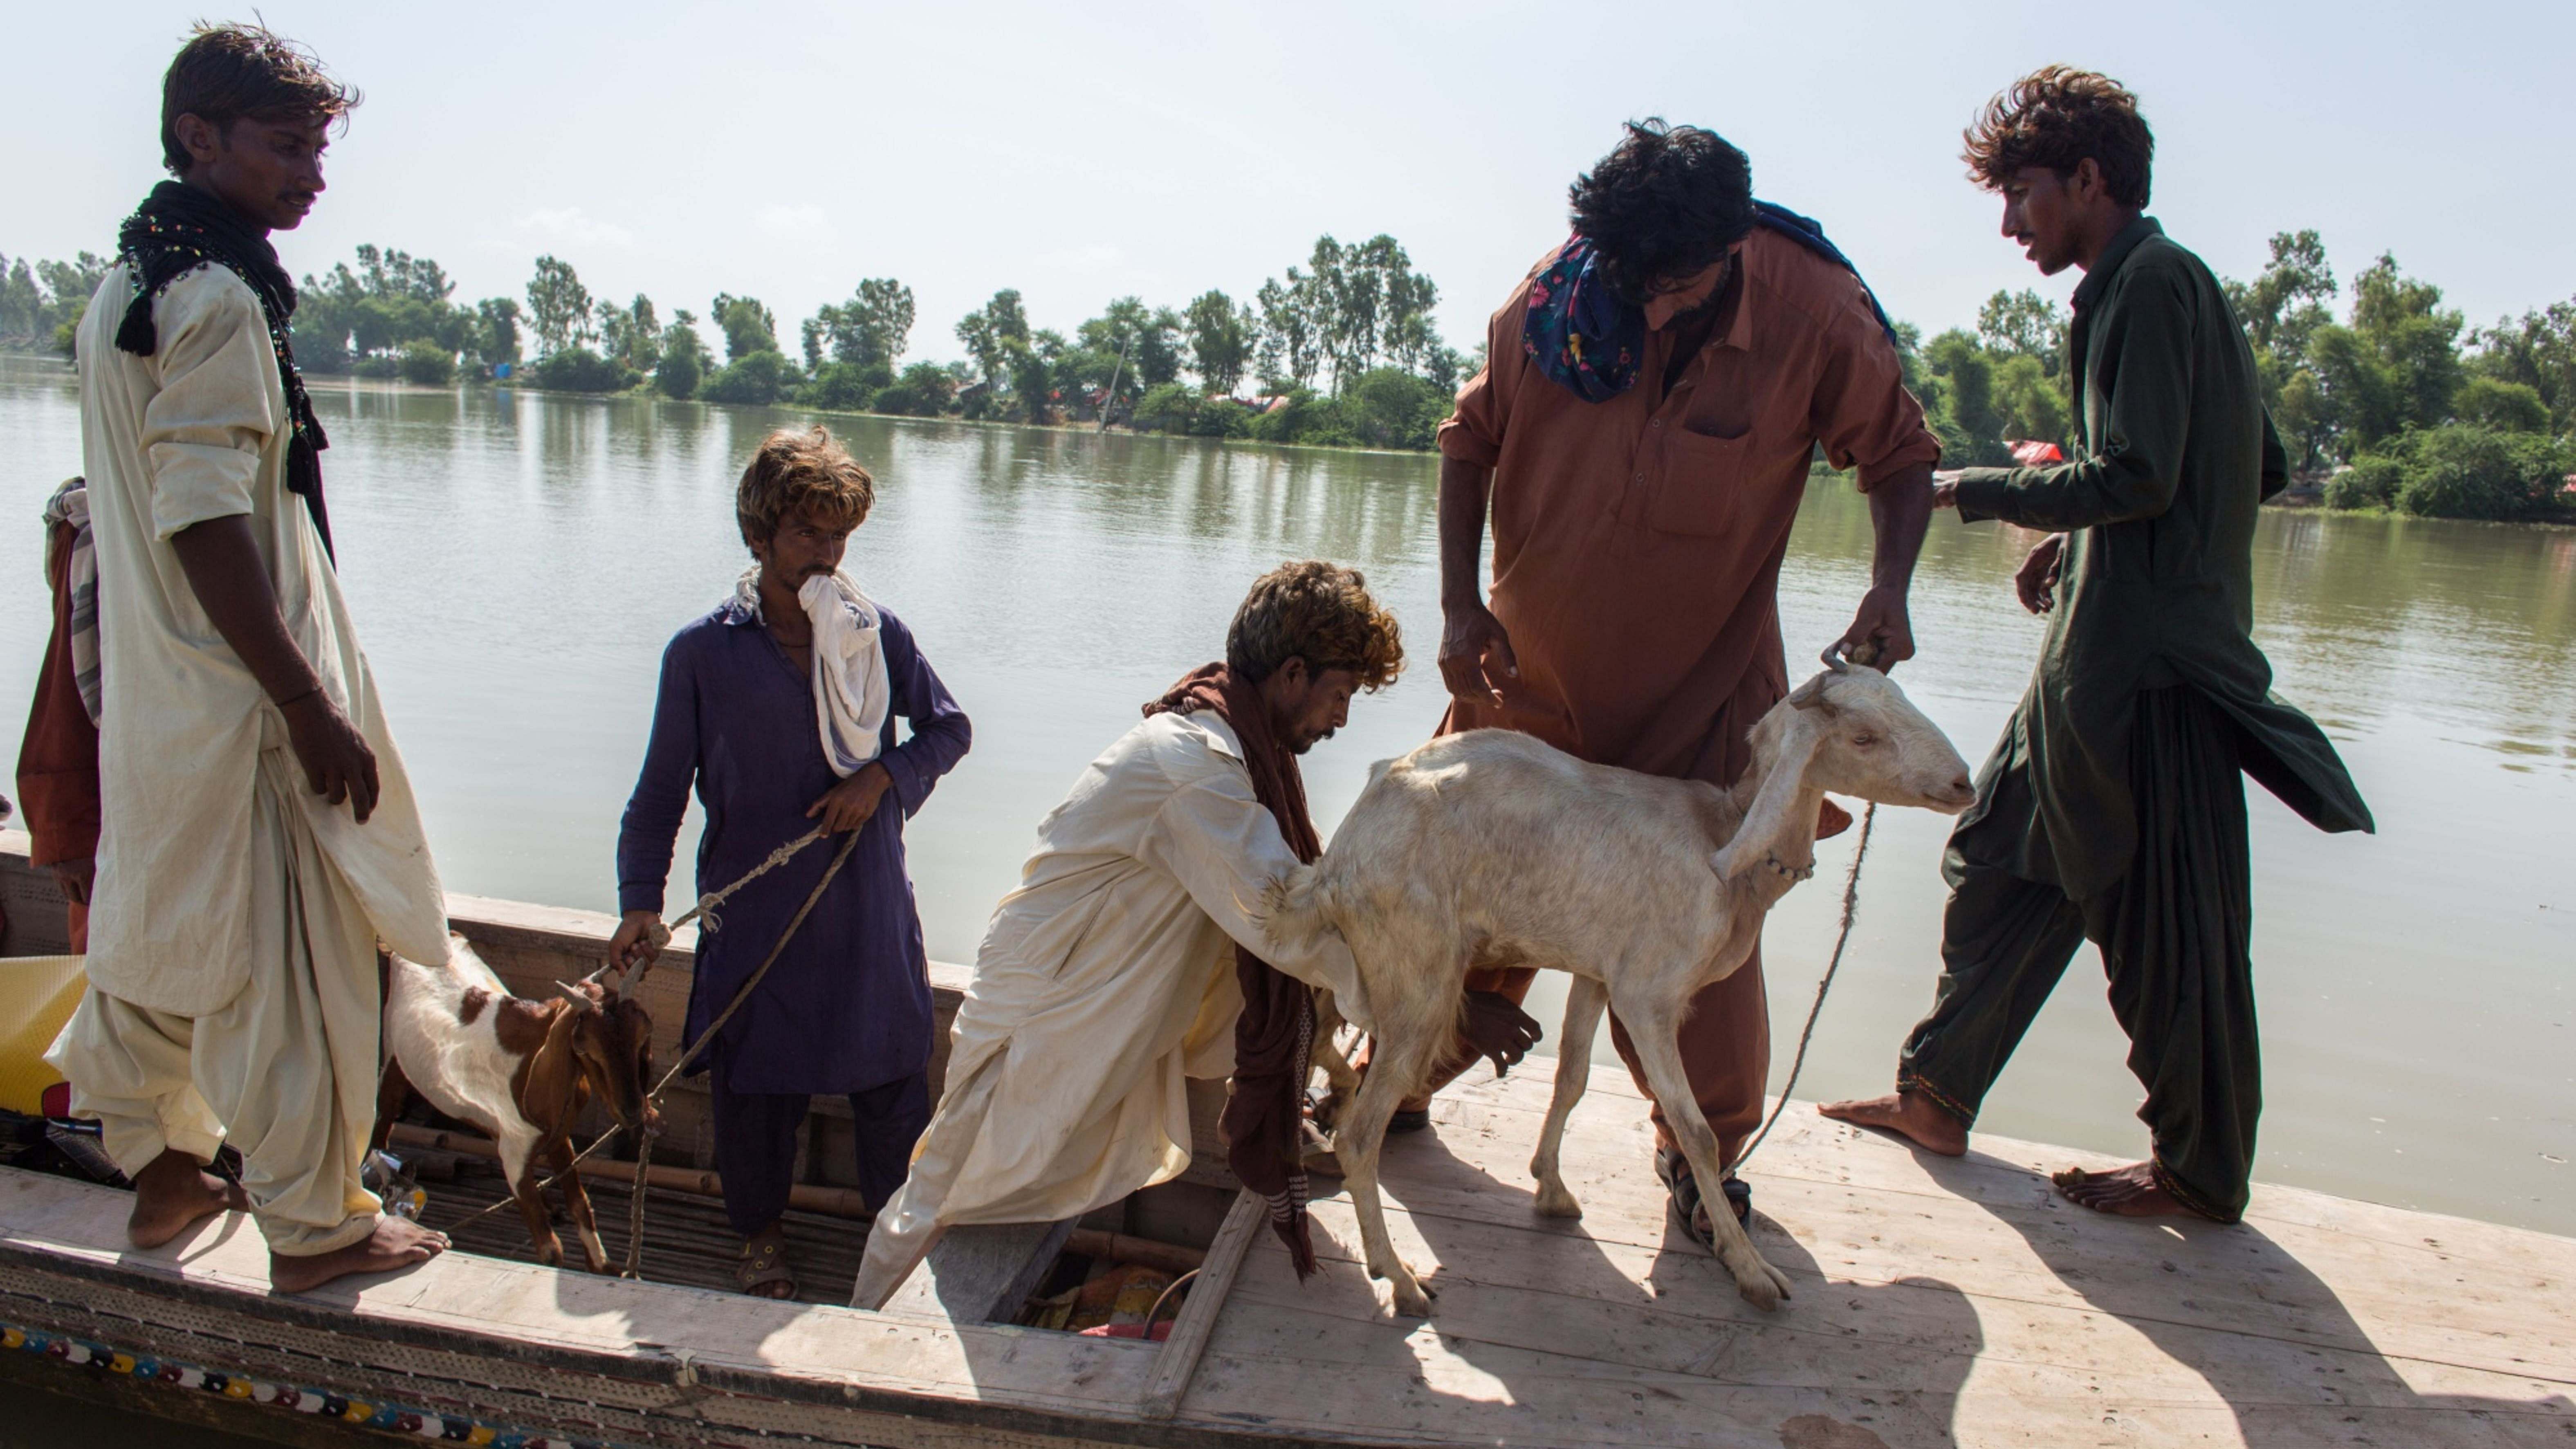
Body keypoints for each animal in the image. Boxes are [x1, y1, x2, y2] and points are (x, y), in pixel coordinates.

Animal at [384, 942, 670, 1271]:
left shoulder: (559, 1137)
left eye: (642, 1039)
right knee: (383, 1119)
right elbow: (550, 1249)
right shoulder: (515, 1156)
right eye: (586, 1050)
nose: (632, 1111)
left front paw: (603, 1266)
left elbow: (581, 1206)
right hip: (393, 1056)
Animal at [1267, 664, 1968, 1317]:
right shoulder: (1647, 994)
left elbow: (1572, 1079)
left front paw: (1550, 1188)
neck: (1726, 844)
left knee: (1325, 1047)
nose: (1964, 783)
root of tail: (1337, 864)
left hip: (1368, 962)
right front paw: (1752, 1271)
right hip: (1418, 978)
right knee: (1362, 1135)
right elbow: (1697, 1131)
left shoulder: (1597, 971)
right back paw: (1400, 1277)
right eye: (1863, 736)